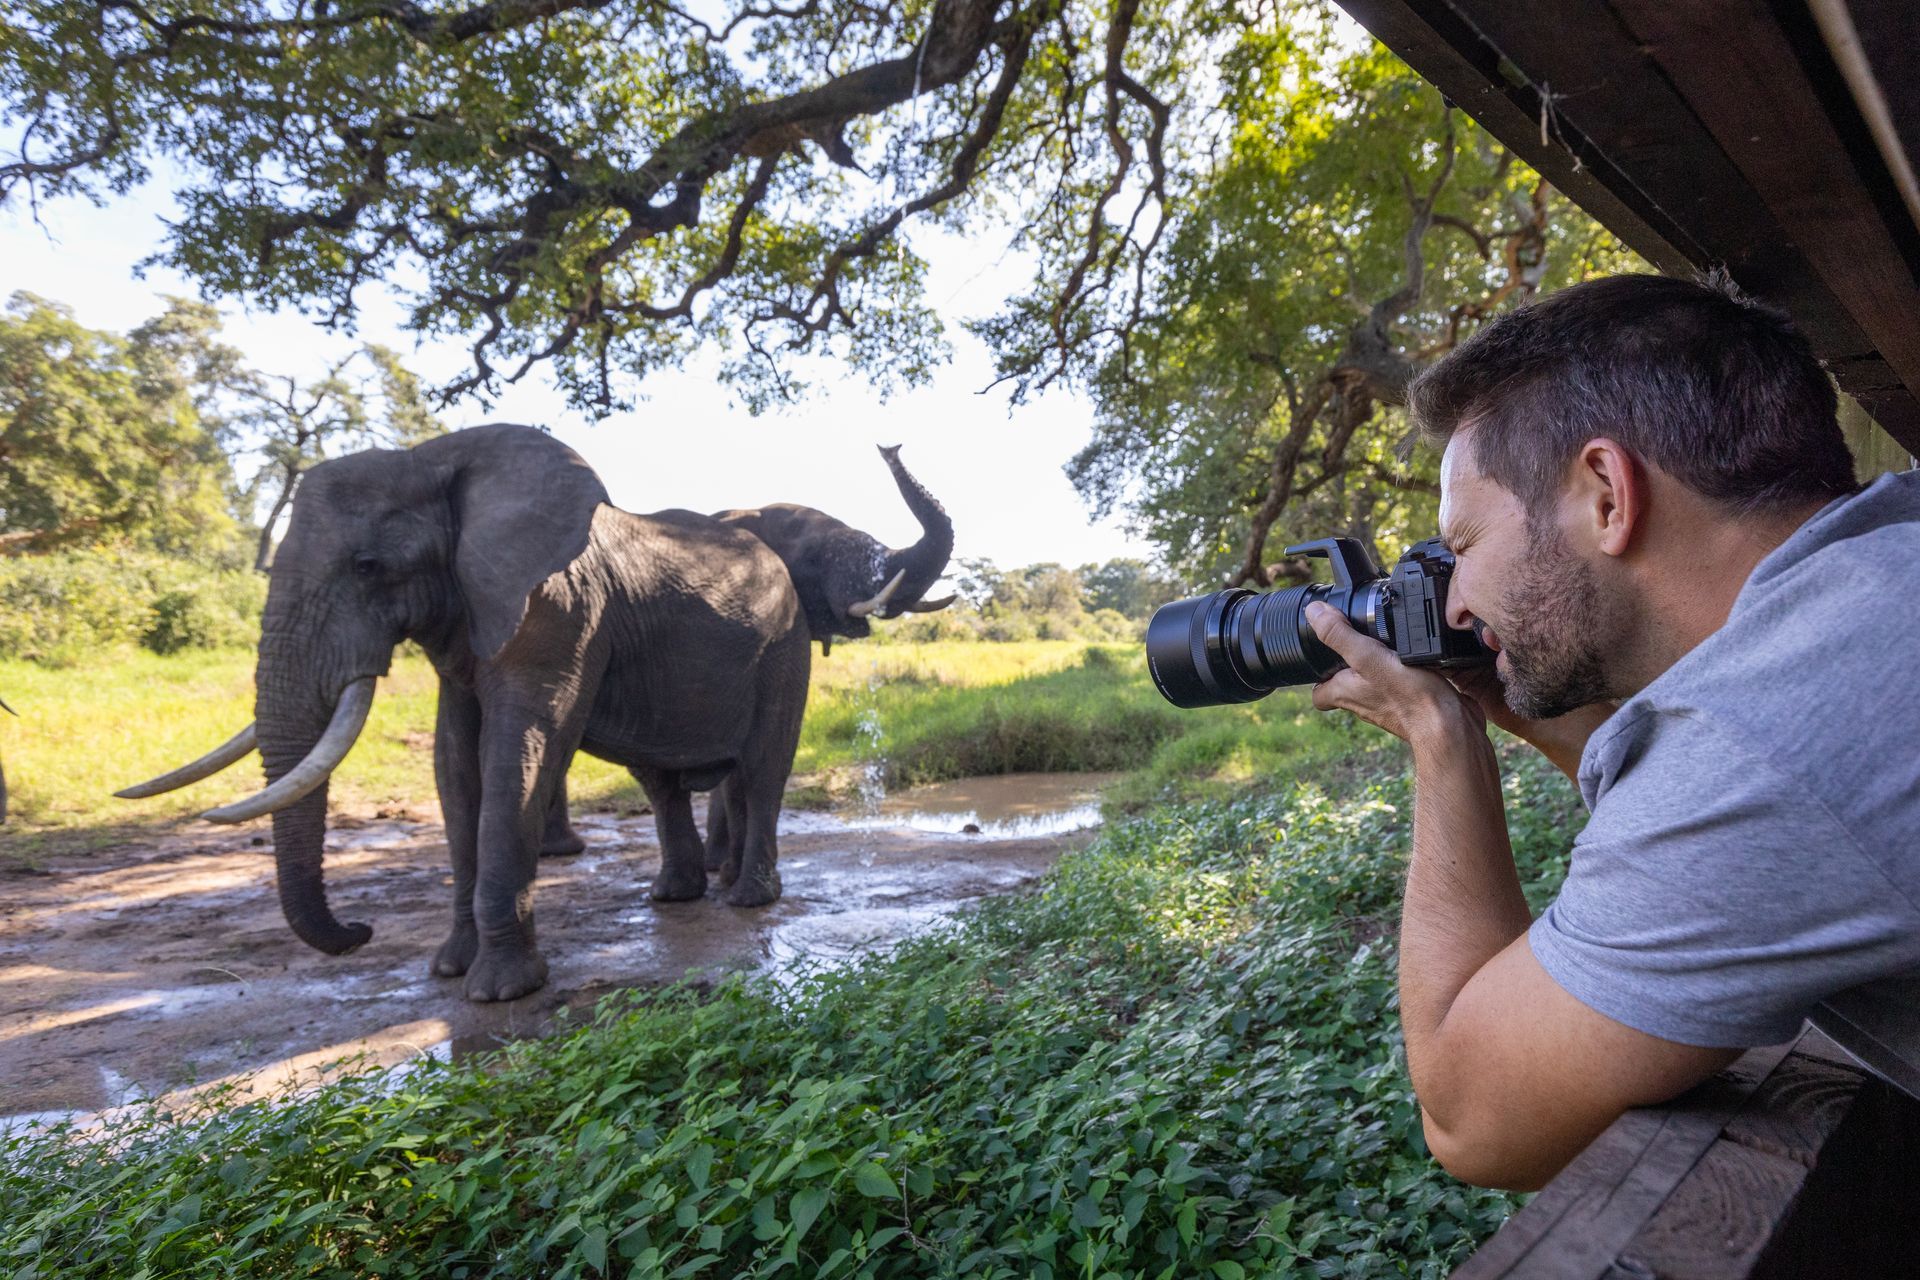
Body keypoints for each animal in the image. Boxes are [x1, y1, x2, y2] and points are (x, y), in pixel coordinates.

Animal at [117, 424, 812, 1002]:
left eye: (368, 567)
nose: (361, 929)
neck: (429, 460)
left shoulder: (556, 612)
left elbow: (517, 754)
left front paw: (500, 991)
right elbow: (453, 764)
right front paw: (450, 968)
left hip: (785, 651)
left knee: (761, 771)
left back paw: (749, 900)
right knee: (661, 782)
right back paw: (675, 896)